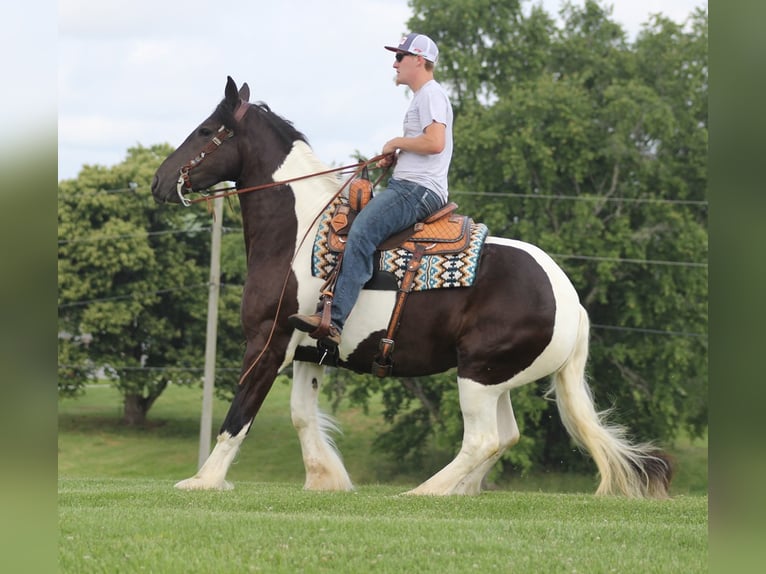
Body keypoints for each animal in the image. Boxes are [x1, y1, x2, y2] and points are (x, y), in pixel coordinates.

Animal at [152, 76, 672, 500]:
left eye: (205, 130)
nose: (159, 181)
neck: (299, 232)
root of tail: (572, 302)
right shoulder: (309, 352)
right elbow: (301, 414)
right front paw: (325, 479)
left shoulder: (269, 340)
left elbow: (240, 413)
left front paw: (203, 480)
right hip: (497, 378)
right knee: (504, 437)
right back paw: (459, 490)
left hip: (477, 374)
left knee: (482, 439)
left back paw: (426, 491)